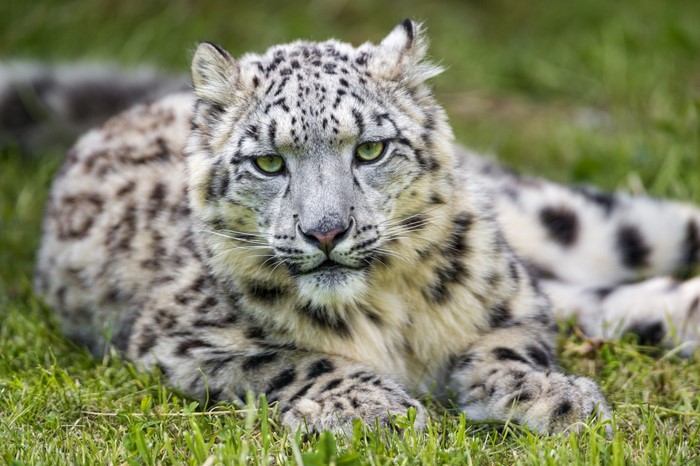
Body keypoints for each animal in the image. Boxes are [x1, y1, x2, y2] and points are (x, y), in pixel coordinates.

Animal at [28, 20, 700, 436]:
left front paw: (553, 398)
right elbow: (290, 359)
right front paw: (373, 407)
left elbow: (507, 343)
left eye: (371, 149)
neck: (387, 312)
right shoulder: (182, 337)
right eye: (268, 162)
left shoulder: (512, 298)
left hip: (567, 221)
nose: (326, 232)